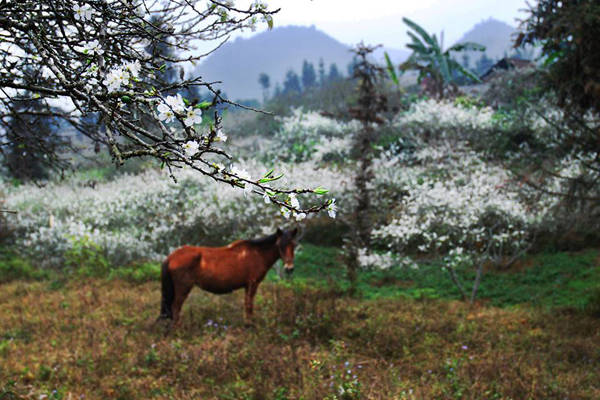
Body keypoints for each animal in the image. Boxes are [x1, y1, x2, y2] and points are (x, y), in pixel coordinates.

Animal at [158, 228, 296, 324]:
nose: (289, 268)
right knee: (175, 307)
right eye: (280, 245)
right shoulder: (253, 283)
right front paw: (250, 325)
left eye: (294, 245)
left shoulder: (247, 286)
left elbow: (246, 304)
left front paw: (247, 323)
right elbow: (249, 306)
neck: (257, 253)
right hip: (183, 287)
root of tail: (171, 257)